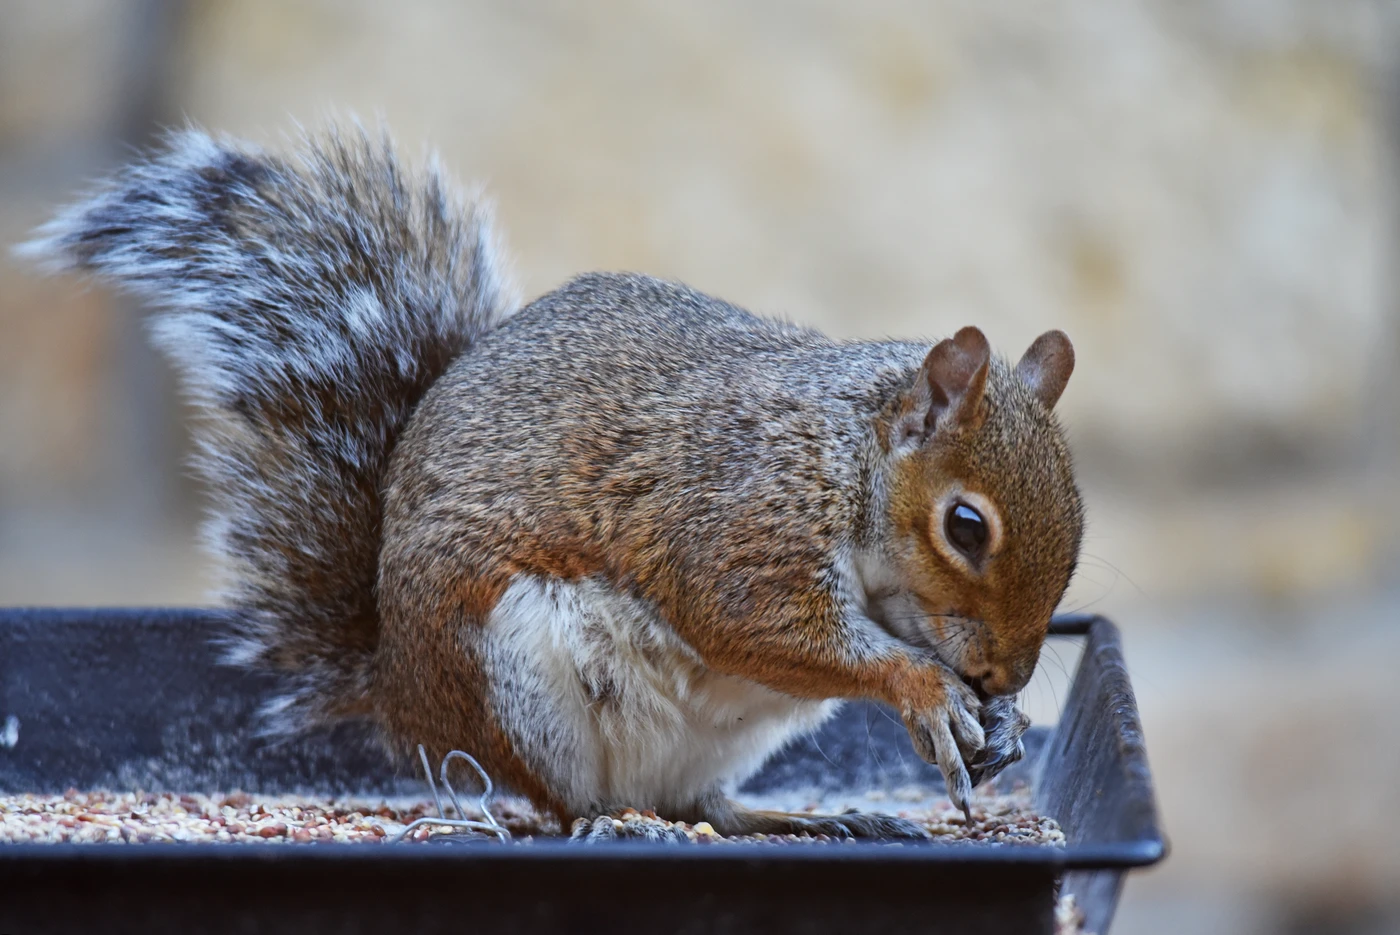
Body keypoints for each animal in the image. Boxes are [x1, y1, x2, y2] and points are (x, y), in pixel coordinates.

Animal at [22, 125, 1084, 840]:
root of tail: (400, 688)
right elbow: (752, 619)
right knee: (578, 805)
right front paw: (926, 689)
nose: (1006, 674)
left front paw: (1006, 722)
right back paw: (619, 822)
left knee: (703, 801)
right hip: (518, 681)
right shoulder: (741, 512)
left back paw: (807, 818)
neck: (847, 456)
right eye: (965, 525)